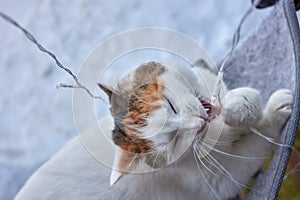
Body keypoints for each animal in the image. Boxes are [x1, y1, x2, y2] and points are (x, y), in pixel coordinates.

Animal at [14, 61, 292, 199]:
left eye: (170, 103)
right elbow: (254, 147)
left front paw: (241, 106)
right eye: (173, 141)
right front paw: (273, 112)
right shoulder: (217, 180)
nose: (197, 123)